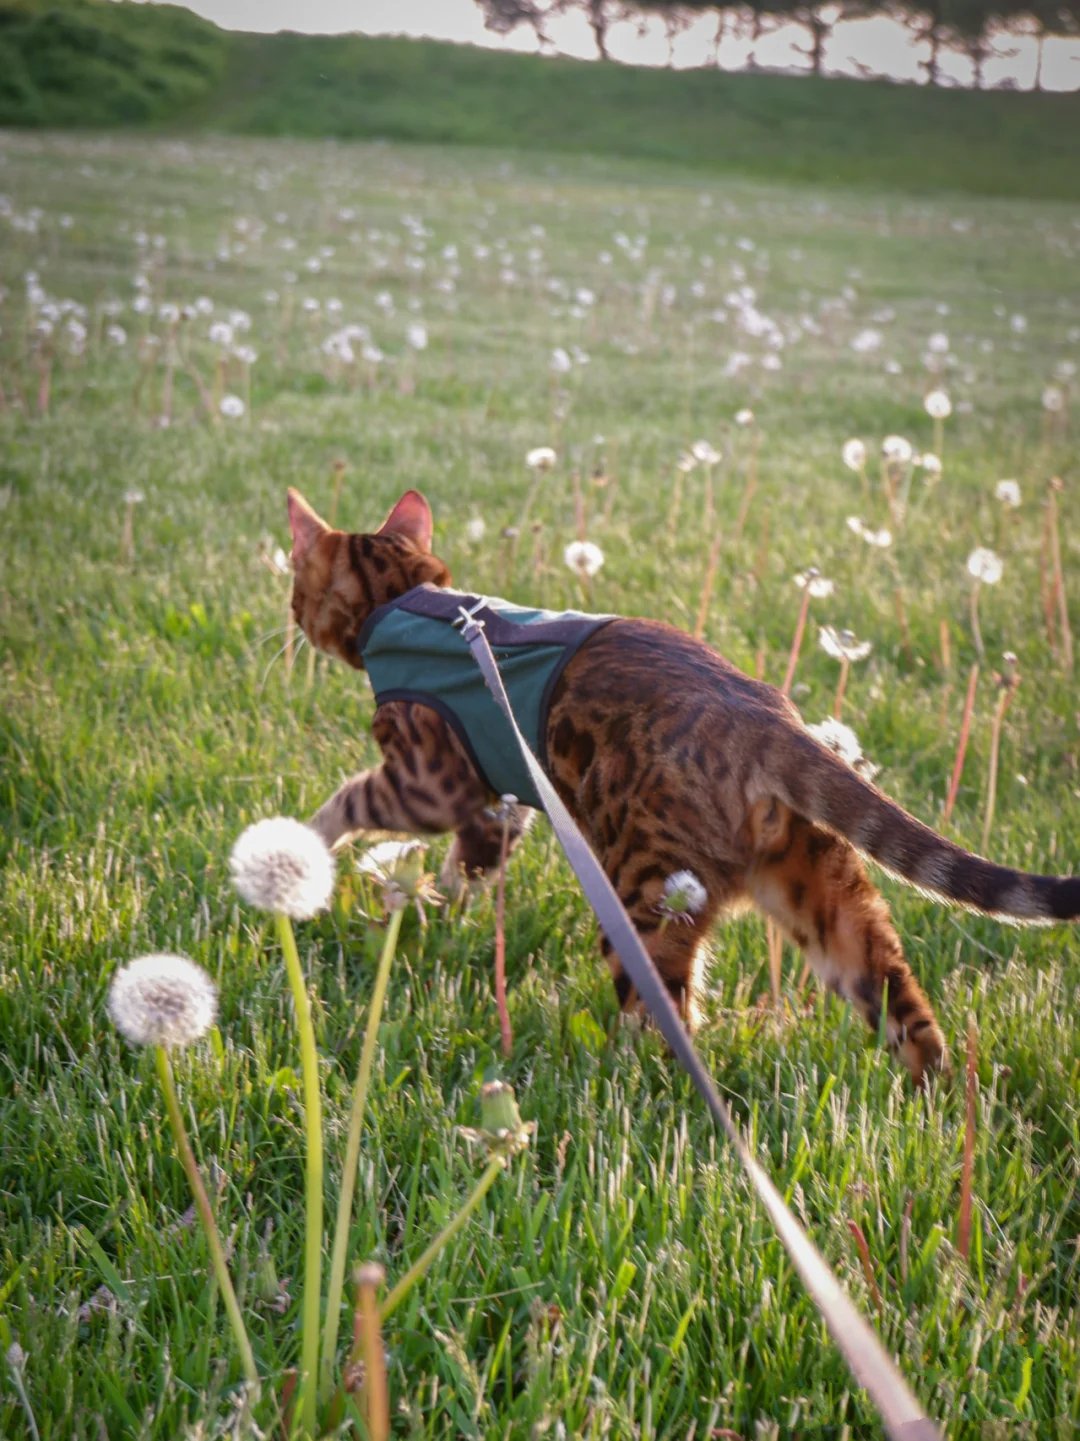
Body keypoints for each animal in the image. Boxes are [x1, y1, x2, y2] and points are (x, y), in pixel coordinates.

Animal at [288, 484, 1078, 1083]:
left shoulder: (429, 781)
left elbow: (350, 800)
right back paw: (932, 1101)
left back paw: (620, 1088)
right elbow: (473, 862)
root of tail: (766, 715)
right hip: (824, 892)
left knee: (669, 1024)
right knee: (901, 1005)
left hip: (643, 897)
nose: (290, 619)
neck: (410, 597)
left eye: (295, 584)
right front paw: (439, 904)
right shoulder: (498, 799)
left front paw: (309, 845)